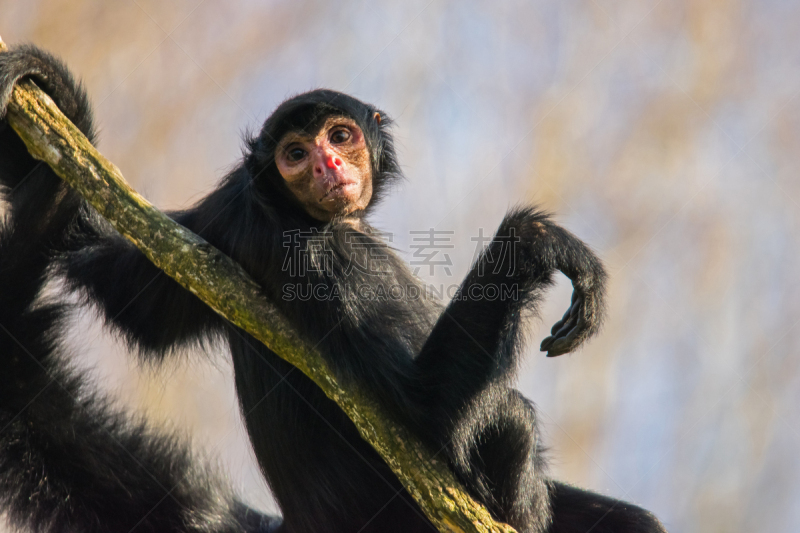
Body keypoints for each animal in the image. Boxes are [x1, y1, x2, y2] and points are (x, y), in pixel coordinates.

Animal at [0, 43, 664, 528]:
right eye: (296, 154)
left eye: (340, 136)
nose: (329, 165)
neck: (279, 209)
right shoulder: (323, 258)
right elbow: (427, 410)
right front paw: (537, 241)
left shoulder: (221, 215)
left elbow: (119, 287)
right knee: (508, 418)